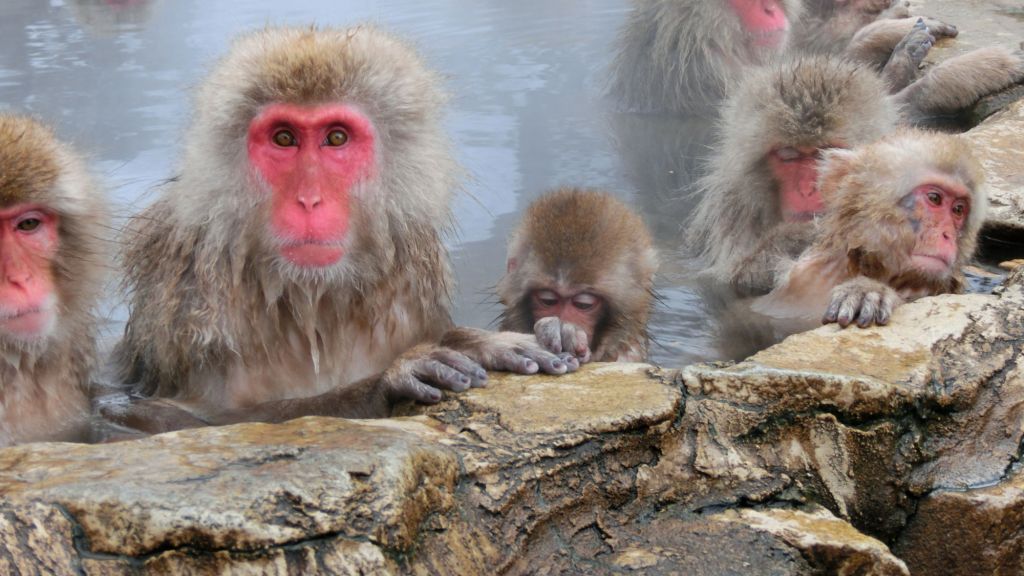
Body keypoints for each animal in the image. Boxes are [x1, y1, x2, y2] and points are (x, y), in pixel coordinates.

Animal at [109, 26, 576, 433]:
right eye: (284, 138)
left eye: (336, 138)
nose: (309, 199)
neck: (308, 296)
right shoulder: (190, 306)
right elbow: (183, 420)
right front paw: (400, 373)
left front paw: (499, 337)